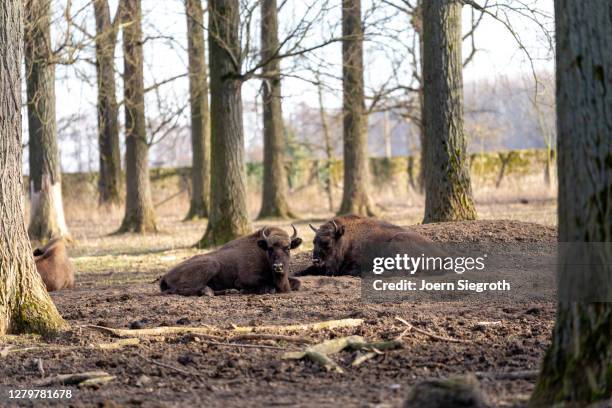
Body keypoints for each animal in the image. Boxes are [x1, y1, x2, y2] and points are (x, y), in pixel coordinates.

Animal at [160, 226, 304, 296]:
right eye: (269, 248)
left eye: (288, 248)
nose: (278, 266)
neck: (261, 253)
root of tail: (165, 275)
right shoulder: (244, 279)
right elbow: (267, 286)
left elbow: (298, 282)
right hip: (212, 265)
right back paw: (208, 292)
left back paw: (228, 291)